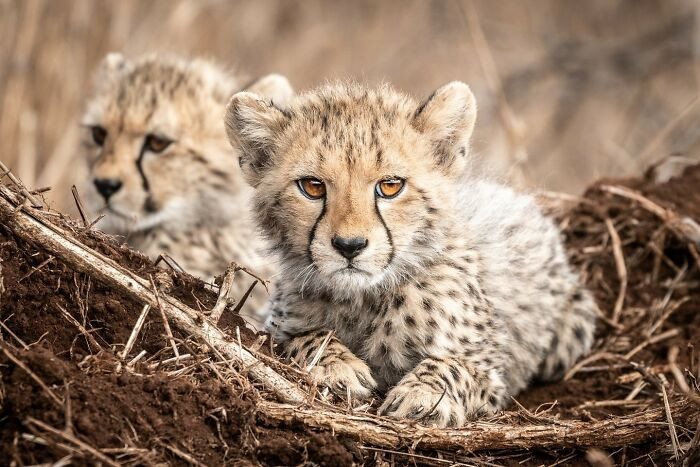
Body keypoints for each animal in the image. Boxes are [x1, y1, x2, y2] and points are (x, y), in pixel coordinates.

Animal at [223, 80, 597, 426]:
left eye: (390, 186)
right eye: (312, 187)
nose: (349, 246)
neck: (364, 298)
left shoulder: (492, 370)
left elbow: (454, 364)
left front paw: (424, 395)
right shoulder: (274, 328)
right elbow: (304, 337)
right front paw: (337, 368)